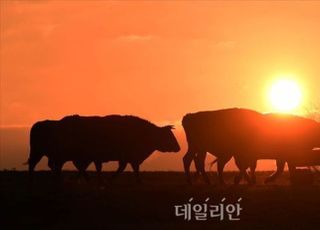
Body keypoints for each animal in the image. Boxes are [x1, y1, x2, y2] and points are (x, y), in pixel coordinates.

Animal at [28, 115, 180, 183]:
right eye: (168, 135)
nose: (178, 147)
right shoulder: (128, 156)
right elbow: (130, 168)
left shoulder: (126, 157)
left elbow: (124, 168)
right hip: (45, 152)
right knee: (39, 164)